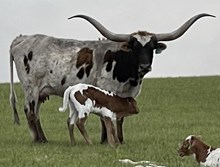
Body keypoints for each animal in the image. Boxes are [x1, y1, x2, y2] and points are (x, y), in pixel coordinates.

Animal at [9, 13, 214, 143]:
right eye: (134, 47)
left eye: (151, 47)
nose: (145, 66)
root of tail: (22, 39)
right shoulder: (106, 90)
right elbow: (106, 115)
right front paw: (106, 140)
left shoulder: (125, 95)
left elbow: (120, 117)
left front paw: (120, 139)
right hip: (31, 88)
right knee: (30, 111)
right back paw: (38, 140)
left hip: (41, 92)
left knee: (36, 112)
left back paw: (43, 138)